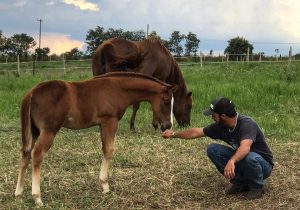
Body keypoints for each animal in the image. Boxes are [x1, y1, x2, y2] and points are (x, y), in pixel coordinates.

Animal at [15, 72, 177, 205]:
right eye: (166, 101)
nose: (168, 126)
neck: (117, 89)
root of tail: (32, 93)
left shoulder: (102, 124)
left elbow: (104, 148)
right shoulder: (110, 121)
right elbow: (109, 150)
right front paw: (105, 186)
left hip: (34, 131)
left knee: (25, 153)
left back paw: (18, 193)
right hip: (48, 131)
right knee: (37, 154)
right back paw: (37, 197)